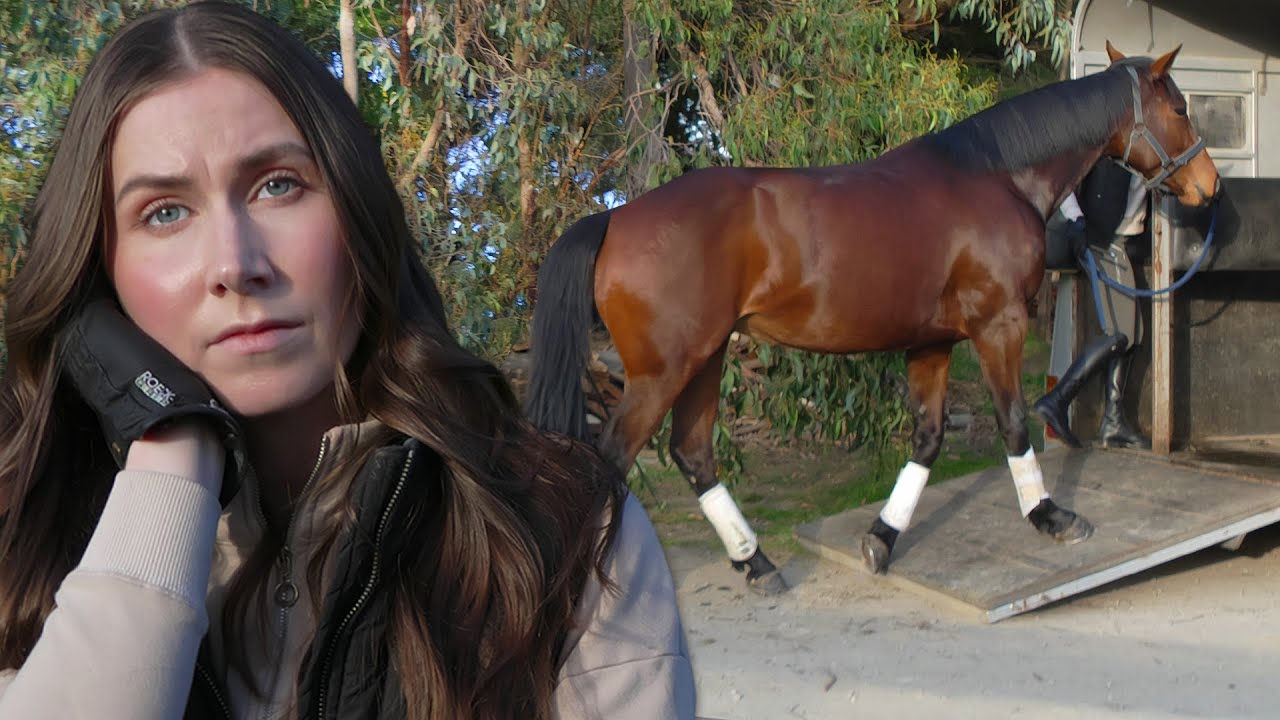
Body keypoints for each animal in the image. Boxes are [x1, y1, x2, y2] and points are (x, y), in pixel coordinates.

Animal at [526, 43, 1220, 595]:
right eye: (1181, 109)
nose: (1209, 185)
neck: (995, 177)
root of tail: (616, 216)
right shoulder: (998, 327)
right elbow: (1013, 422)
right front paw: (1050, 517)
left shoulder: (933, 343)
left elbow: (928, 438)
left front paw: (882, 537)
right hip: (664, 371)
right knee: (611, 459)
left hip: (706, 357)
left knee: (692, 454)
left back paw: (758, 565)